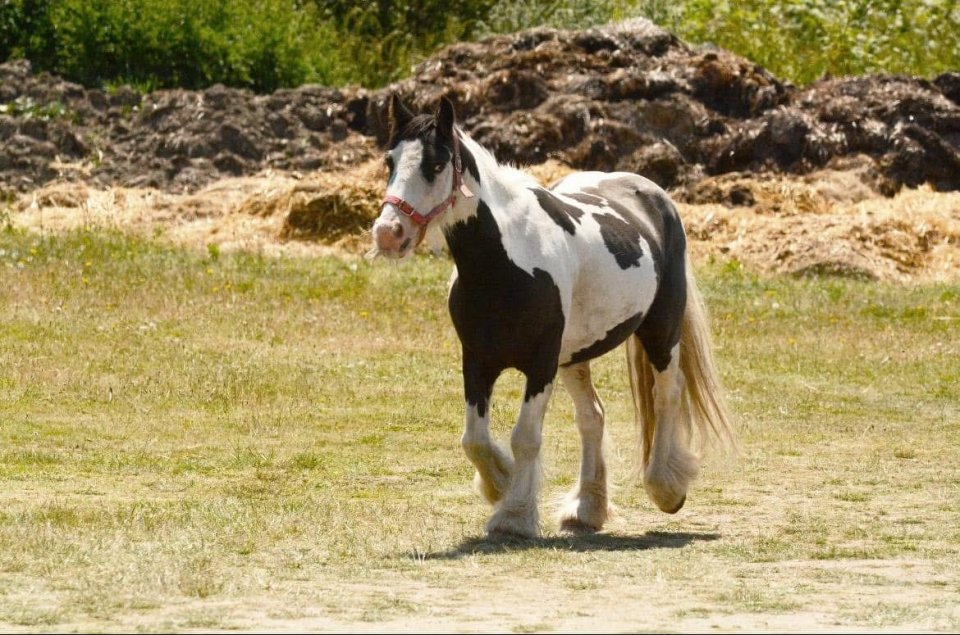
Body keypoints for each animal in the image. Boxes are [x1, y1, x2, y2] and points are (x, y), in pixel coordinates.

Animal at [370, 95, 736, 538]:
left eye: (436, 165)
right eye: (389, 161)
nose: (388, 233)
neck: (505, 262)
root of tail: (651, 194)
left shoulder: (540, 363)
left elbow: (525, 436)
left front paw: (514, 516)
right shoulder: (476, 360)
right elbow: (473, 439)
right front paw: (501, 485)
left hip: (660, 333)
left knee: (666, 395)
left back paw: (665, 487)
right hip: (575, 356)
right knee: (592, 417)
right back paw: (587, 510)